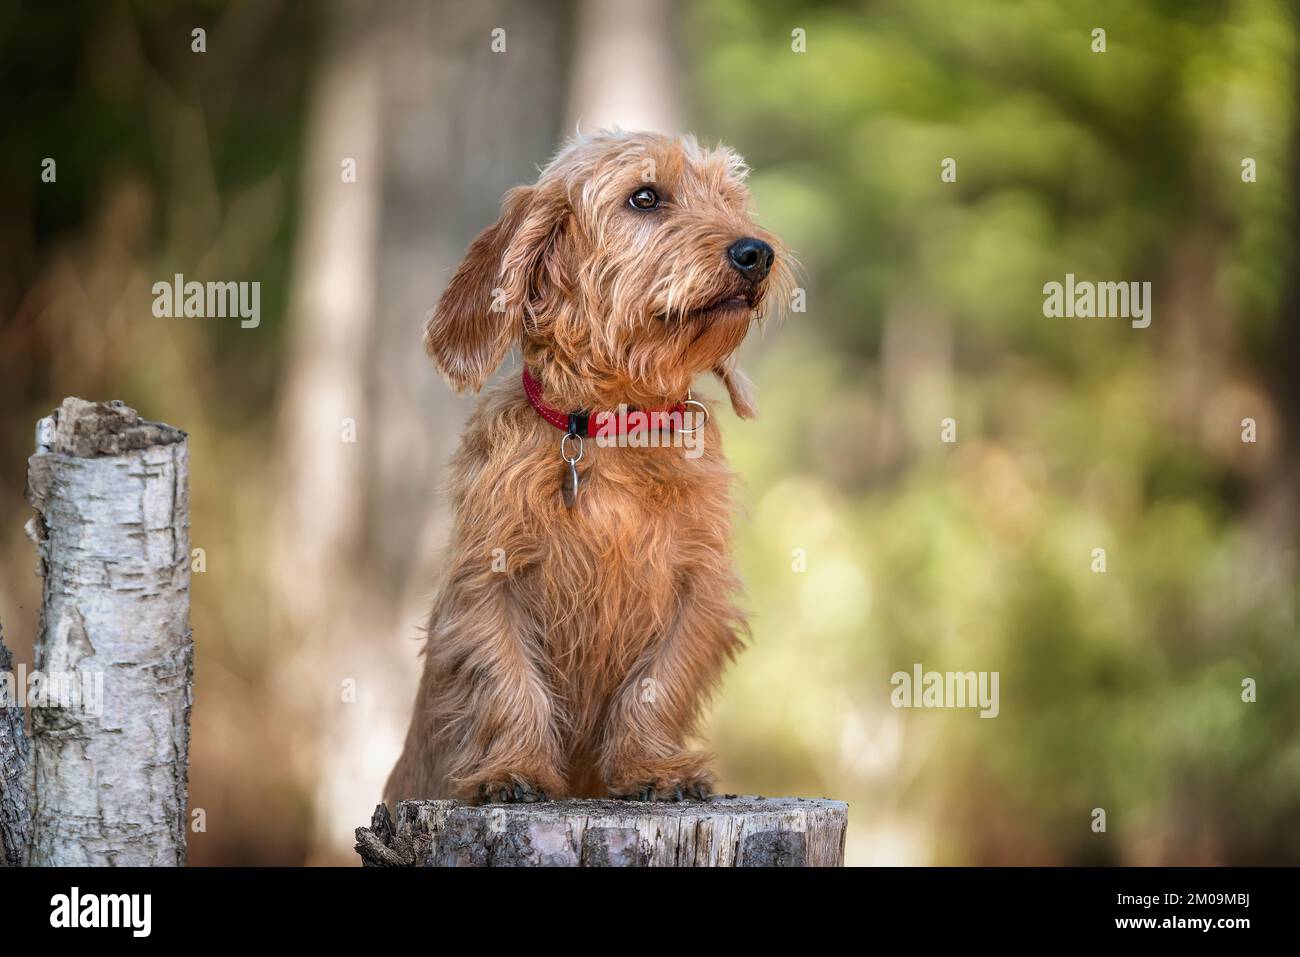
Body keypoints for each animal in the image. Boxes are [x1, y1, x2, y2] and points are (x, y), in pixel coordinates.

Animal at [382, 130, 790, 806]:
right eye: (645, 197)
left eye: (731, 200)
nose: (756, 252)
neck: (609, 430)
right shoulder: (488, 579)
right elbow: (507, 680)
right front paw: (514, 770)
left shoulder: (698, 589)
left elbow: (657, 685)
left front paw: (653, 768)